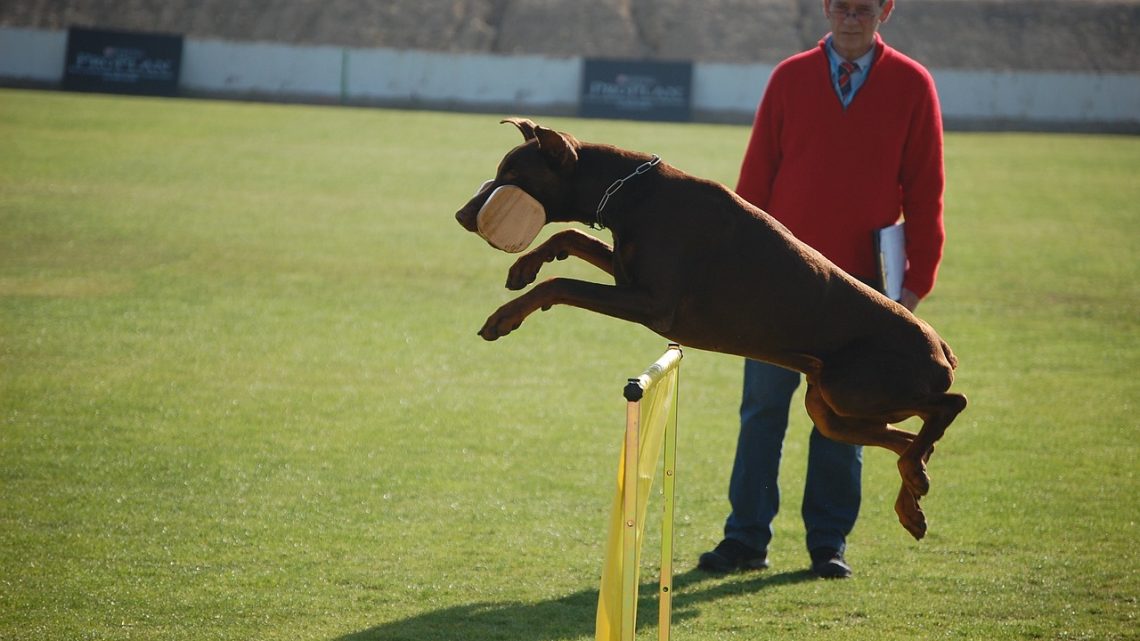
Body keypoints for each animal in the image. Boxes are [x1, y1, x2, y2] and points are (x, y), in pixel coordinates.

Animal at [449, 117, 966, 536]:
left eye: (512, 177)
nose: (461, 215)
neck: (631, 193)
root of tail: (942, 346)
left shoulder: (651, 304)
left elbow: (560, 283)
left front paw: (505, 315)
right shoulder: (626, 276)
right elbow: (570, 236)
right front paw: (525, 266)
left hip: (855, 387)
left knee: (948, 405)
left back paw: (916, 476)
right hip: (831, 407)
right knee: (907, 441)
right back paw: (913, 492)